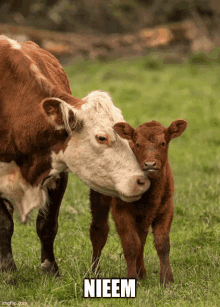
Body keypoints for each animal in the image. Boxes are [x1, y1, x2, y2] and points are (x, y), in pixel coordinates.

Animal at [0, 35, 150, 274]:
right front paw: (8, 272)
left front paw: (50, 269)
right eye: (102, 137)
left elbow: (47, 224)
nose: (141, 181)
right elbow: (4, 226)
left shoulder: (58, 172)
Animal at [89, 119, 187, 286]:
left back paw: (142, 273)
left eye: (163, 143)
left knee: (141, 238)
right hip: (99, 197)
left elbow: (162, 243)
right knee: (99, 231)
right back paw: (95, 271)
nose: (150, 164)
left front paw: (167, 279)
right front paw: (131, 277)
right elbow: (130, 244)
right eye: (138, 144)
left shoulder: (166, 209)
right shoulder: (121, 211)